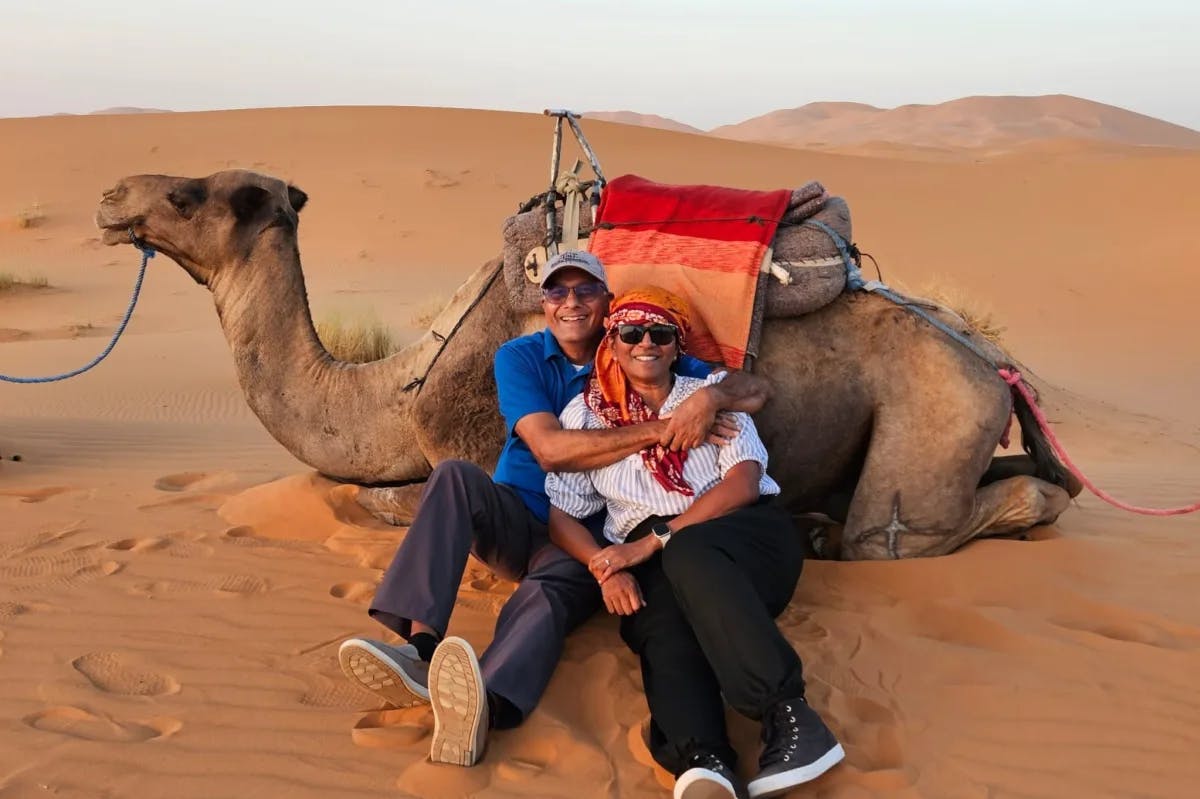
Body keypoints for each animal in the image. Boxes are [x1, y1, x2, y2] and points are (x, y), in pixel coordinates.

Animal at [93, 169, 1080, 556]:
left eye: (189, 195)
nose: (110, 198)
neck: (396, 393)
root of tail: (999, 365)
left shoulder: (473, 446)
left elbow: (377, 507)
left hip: (932, 418)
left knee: (910, 526)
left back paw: (825, 531)